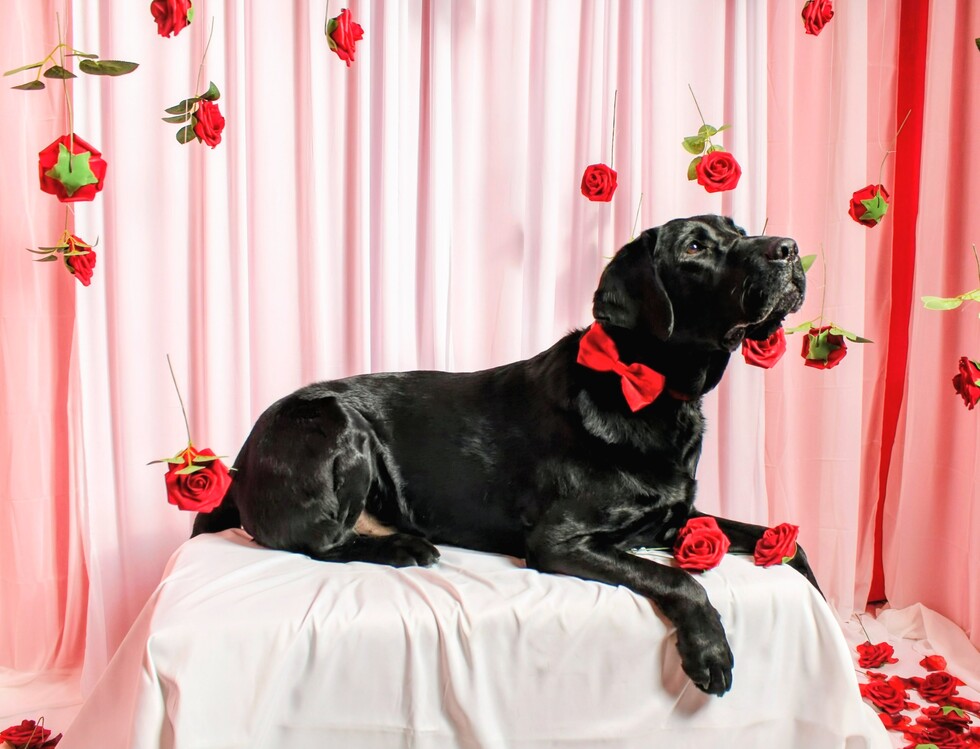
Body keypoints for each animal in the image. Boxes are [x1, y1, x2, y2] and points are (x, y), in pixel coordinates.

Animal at [193, 214, 817, 696]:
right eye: (694, 247)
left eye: (740, 230)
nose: (789, 247)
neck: (646, 388)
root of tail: (240, 460)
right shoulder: (557, 540)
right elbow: (677, 580)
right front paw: (710, 649)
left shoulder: (678, 517)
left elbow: (786, 542)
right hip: (335, 421)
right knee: (320, 541)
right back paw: (403, 547)